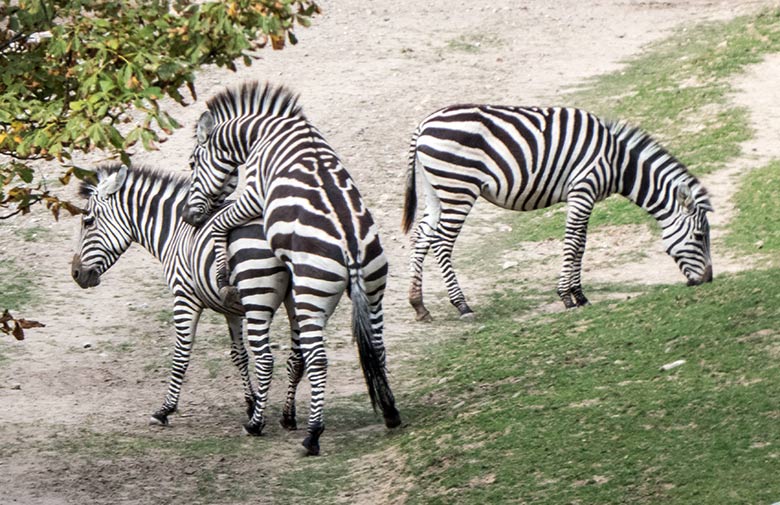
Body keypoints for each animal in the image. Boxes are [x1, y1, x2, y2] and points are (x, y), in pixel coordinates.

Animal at [71, 163, 308, 432]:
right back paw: (287, 417)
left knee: (267, 360)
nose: (76, 274)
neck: (174, 230)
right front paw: (251, 403)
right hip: (294, 298)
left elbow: (181, 355)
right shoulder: (230, 307)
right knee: (296, 359)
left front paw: (165, 409)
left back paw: (256, 426)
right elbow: (239, 356)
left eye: (88, 221)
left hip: (257, 300)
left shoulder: (184, 296)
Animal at [183, 80, 402, 454]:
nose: (188, 216)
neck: (262, 132)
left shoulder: (254, 193)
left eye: (193, 162)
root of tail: (352, 249)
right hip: (375, 288)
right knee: (378, 347)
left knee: (317, 359)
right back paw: (390, 412)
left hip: (311, 295)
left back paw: (311, 435)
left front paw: (223, 271)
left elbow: (221, 223)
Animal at [402, 105, 712, 320]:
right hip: (459, 188)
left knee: (422, 236)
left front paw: (580, 295)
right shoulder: (583, 190)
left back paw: (419, 305)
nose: (708, 281)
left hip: (436, 189)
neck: (617, 162)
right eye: (699, 237)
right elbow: (573, 242)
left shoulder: (584, 196)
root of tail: (424, 125)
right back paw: (462, 305)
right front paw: (567, 296)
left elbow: (581, 244)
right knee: (442, 243)